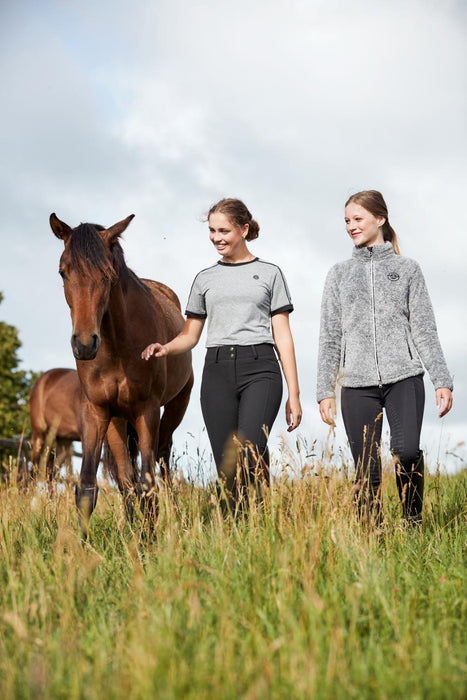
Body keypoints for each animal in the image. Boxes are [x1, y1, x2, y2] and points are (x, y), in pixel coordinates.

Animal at [51, 213, 196, 536]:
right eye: (63, 272)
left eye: (107, 275)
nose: (84, 344)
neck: (117, 345)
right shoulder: (96, 411)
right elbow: (88, 487)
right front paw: (81, 546)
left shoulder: (147, 411)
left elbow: (148, 484)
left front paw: (149, 541)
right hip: (117, 422)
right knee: (127, 480)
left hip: (175, 408)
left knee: (161, 463)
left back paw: (177, 522)